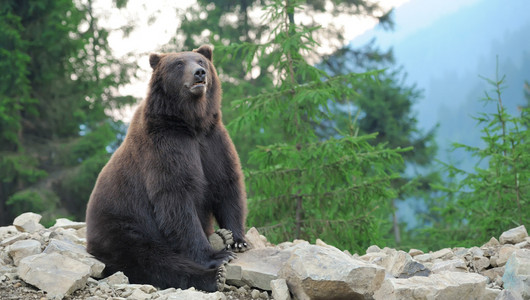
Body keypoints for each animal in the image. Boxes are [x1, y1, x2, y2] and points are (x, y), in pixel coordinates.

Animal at [84, 45, 245, 292]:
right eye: (178, 64)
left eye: (201, 61)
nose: (199, 73)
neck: (190, 124)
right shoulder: (165, 147)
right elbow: (177, 200)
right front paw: (216, 256)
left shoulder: (212, 141)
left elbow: (226, 182)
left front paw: (237, 239)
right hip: (125, 229)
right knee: (153, 260)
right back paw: (214, 275)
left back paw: (223, 237)